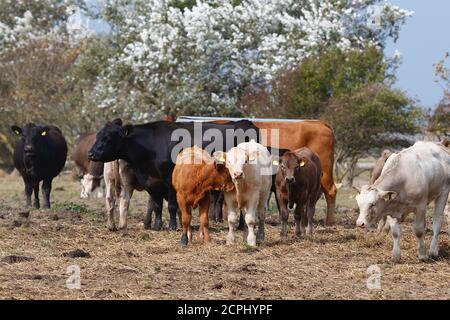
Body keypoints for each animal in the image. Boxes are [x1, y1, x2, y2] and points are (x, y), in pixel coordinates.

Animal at [88, 117, 258, 230]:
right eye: (97, 135)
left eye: (108, 137)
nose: (90, 154)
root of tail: (244, 122)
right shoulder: (151, 183)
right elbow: (157, 205)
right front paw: (157, 226)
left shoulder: (169, 180)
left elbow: (171, 206)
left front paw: (172, 226)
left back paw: (241, 226)